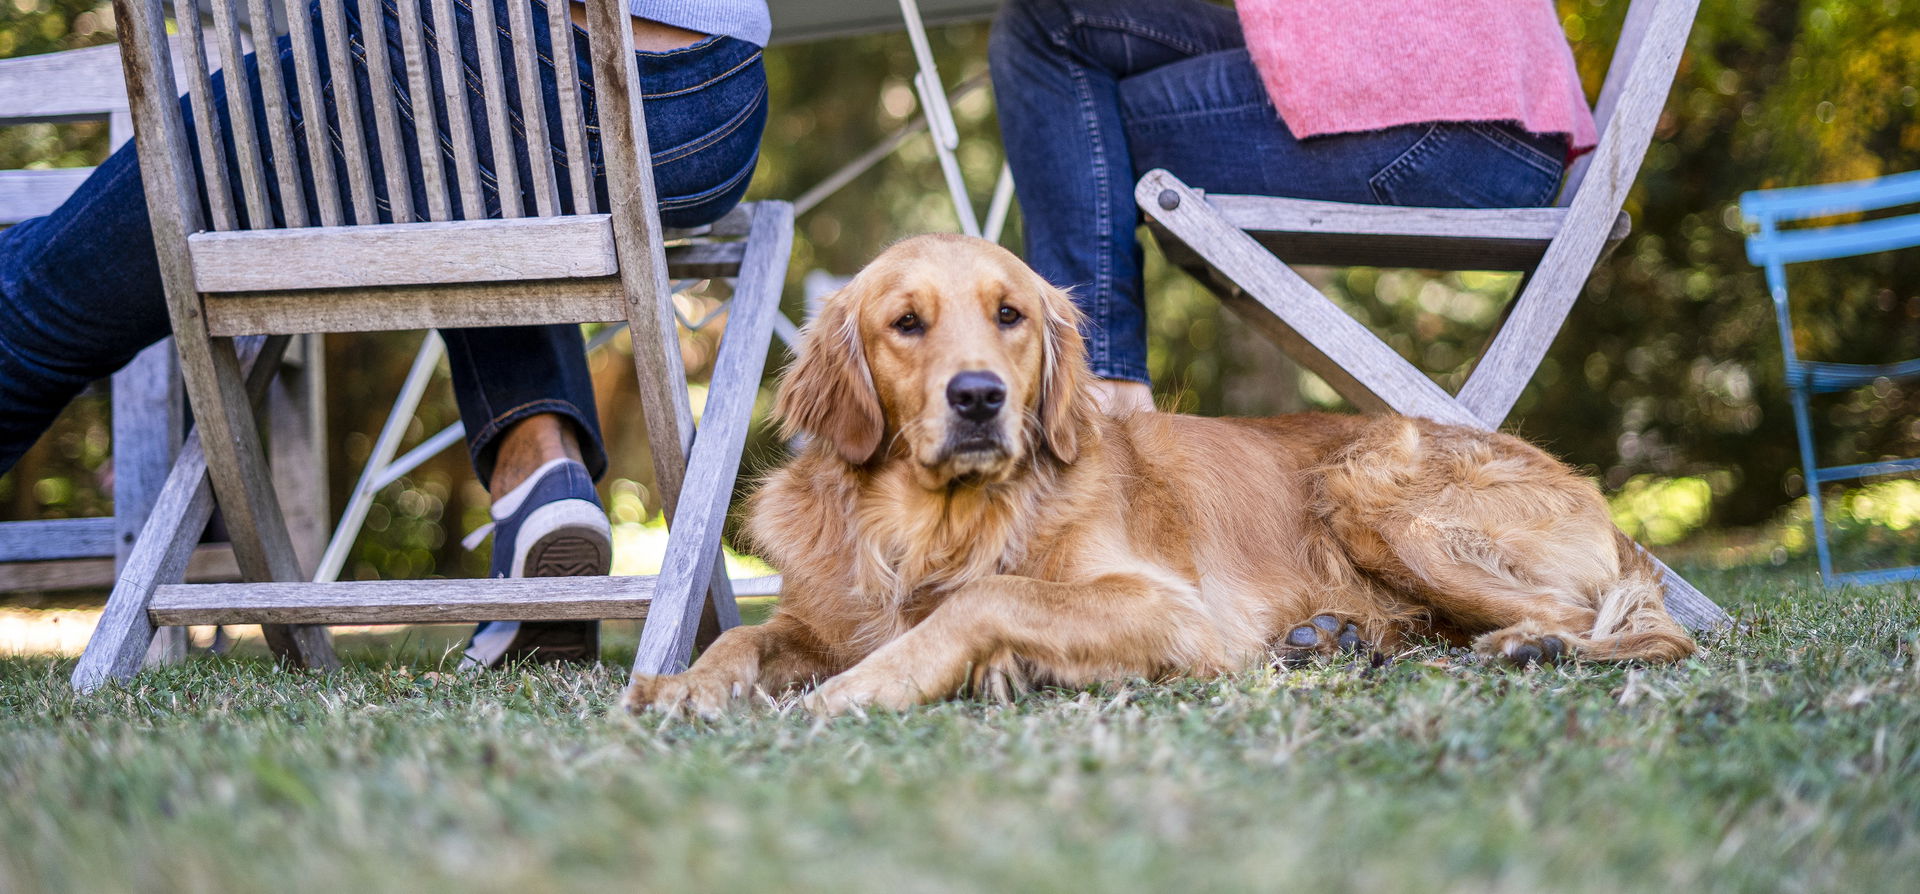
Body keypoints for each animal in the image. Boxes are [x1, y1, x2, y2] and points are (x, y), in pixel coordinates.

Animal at [622, 232, 1689, 717]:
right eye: (906, 323)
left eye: (1010, 314)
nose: (978, 398)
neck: (935, 527)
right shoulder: (823, 615)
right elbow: (747, 636)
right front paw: (684, 684)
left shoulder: (1174, 608)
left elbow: (988, 599)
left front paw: (860, 690)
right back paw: (1339, 638)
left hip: (1369, 492)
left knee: (1624, 628)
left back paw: (1525, 647)